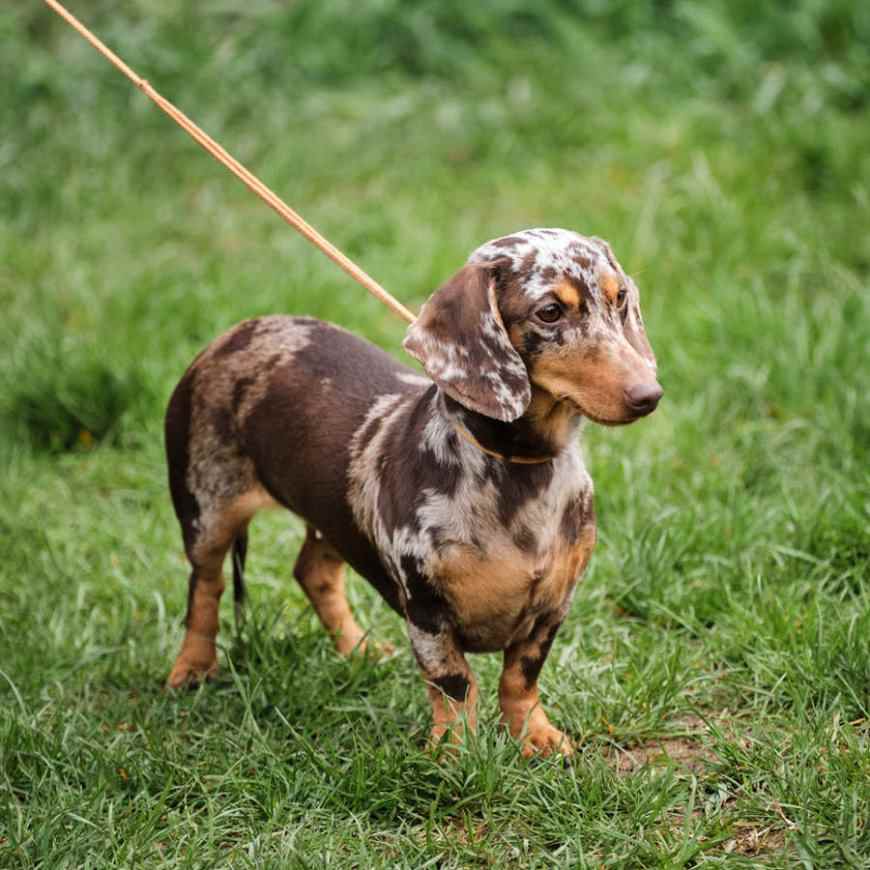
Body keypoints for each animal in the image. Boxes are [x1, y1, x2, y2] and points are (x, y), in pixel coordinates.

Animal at [164, 227, 660, 756]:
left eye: (619, 297)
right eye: (549, 311)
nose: (649, 395)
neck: (519, 470)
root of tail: (235, 333)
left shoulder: (552, 607)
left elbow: (520, 677)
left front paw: (535, 736)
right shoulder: (426, 609)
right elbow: (455, 684)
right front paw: (456, 752)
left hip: (335, 513)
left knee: (312, 571)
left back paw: (358, 650)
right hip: (207, 512)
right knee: (205, 587)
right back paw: (192, 667)